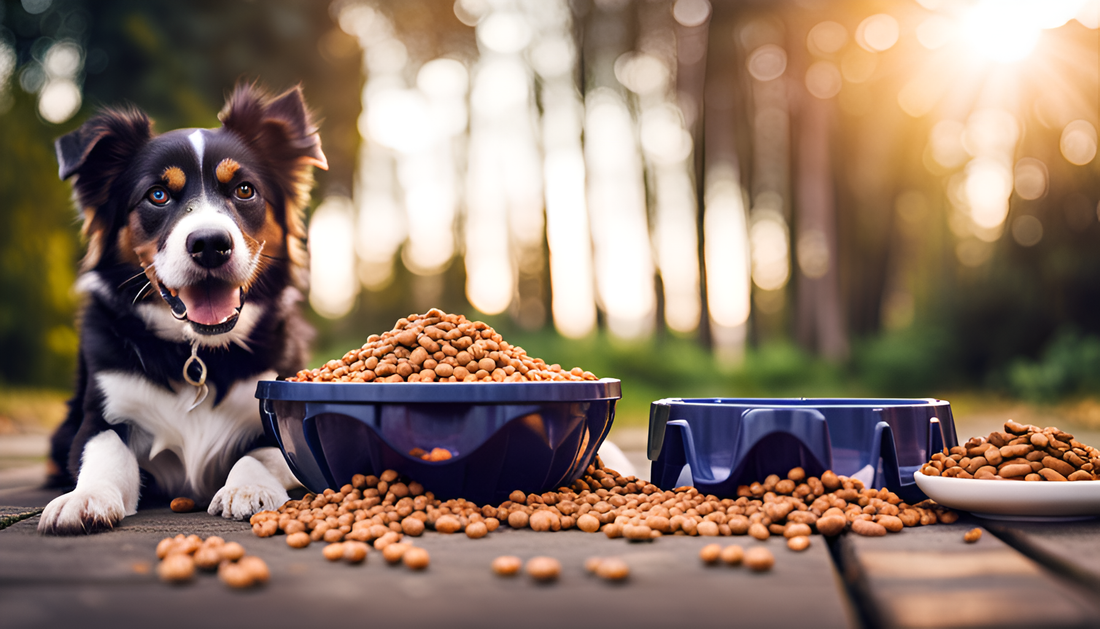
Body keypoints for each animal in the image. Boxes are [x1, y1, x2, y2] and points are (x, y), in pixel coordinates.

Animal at [40, 84, 323, 536]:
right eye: (157, 195)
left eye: (244, 190)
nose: (210, 244)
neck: (197, 353)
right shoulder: (100, 416)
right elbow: (105, 451)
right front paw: (85, 497)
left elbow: (261, 452)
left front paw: (247, 488)